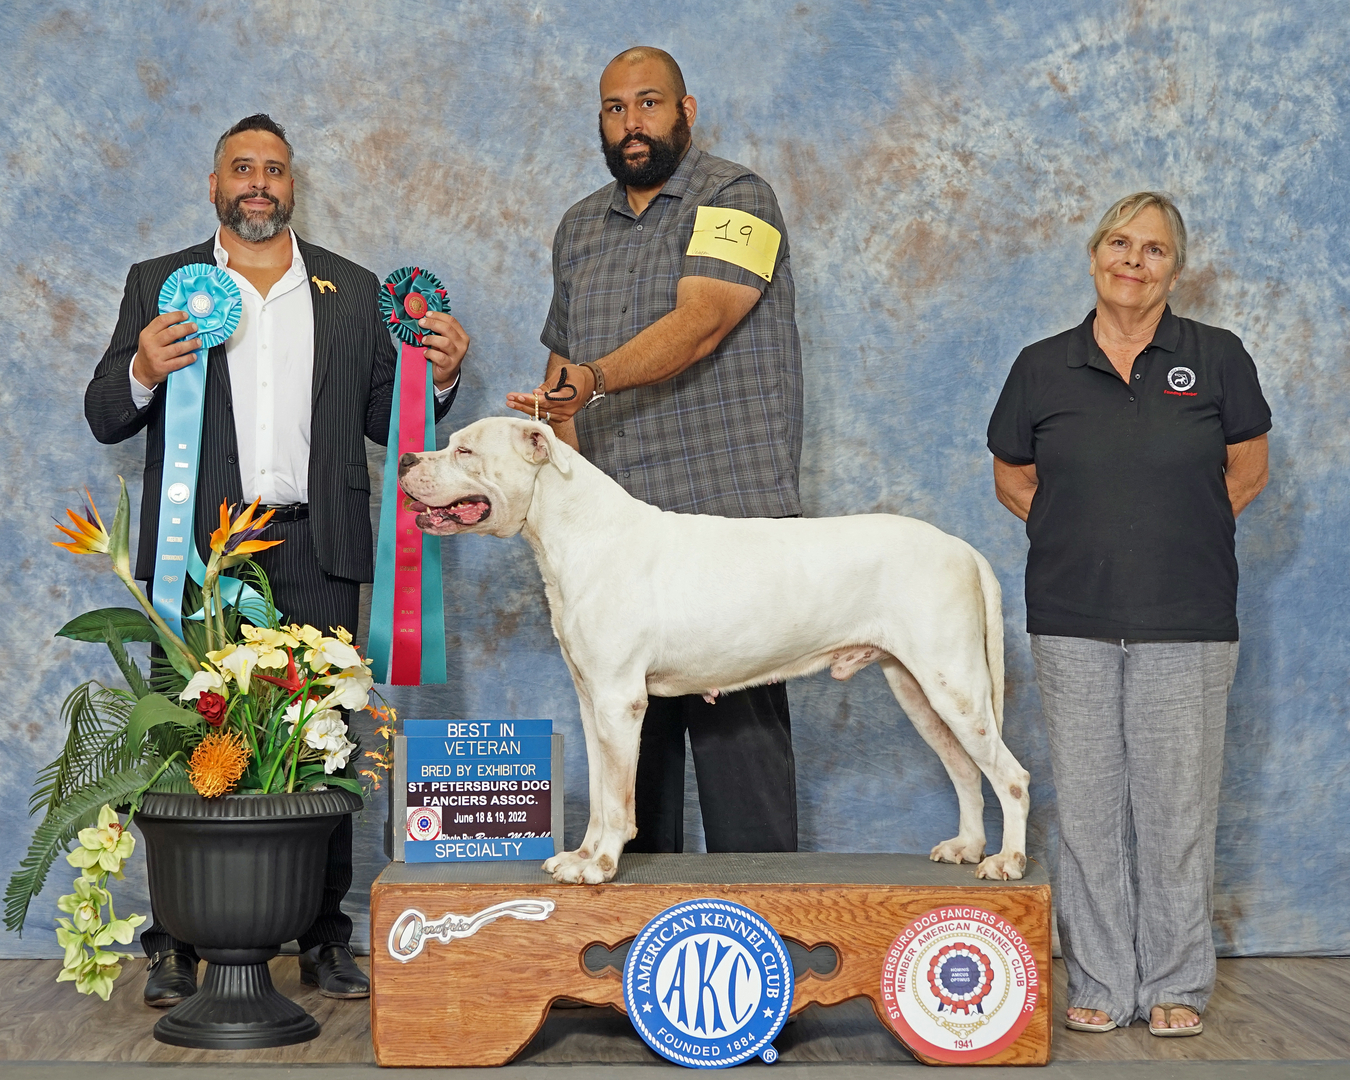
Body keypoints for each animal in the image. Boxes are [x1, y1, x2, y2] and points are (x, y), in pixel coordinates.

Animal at [394, 418, 1026, 880]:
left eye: (465, 451)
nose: (405, 460)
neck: (576, 530)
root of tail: (964, 549)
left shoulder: (619, 702)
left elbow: (618, 798)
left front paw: (601, 865)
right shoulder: (591, 701)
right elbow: (599, 791)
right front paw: (580, 857)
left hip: (954, 685)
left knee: (1011, 778)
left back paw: (1006, 862)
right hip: (918, 689)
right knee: (966, 772)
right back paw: (967, 847)